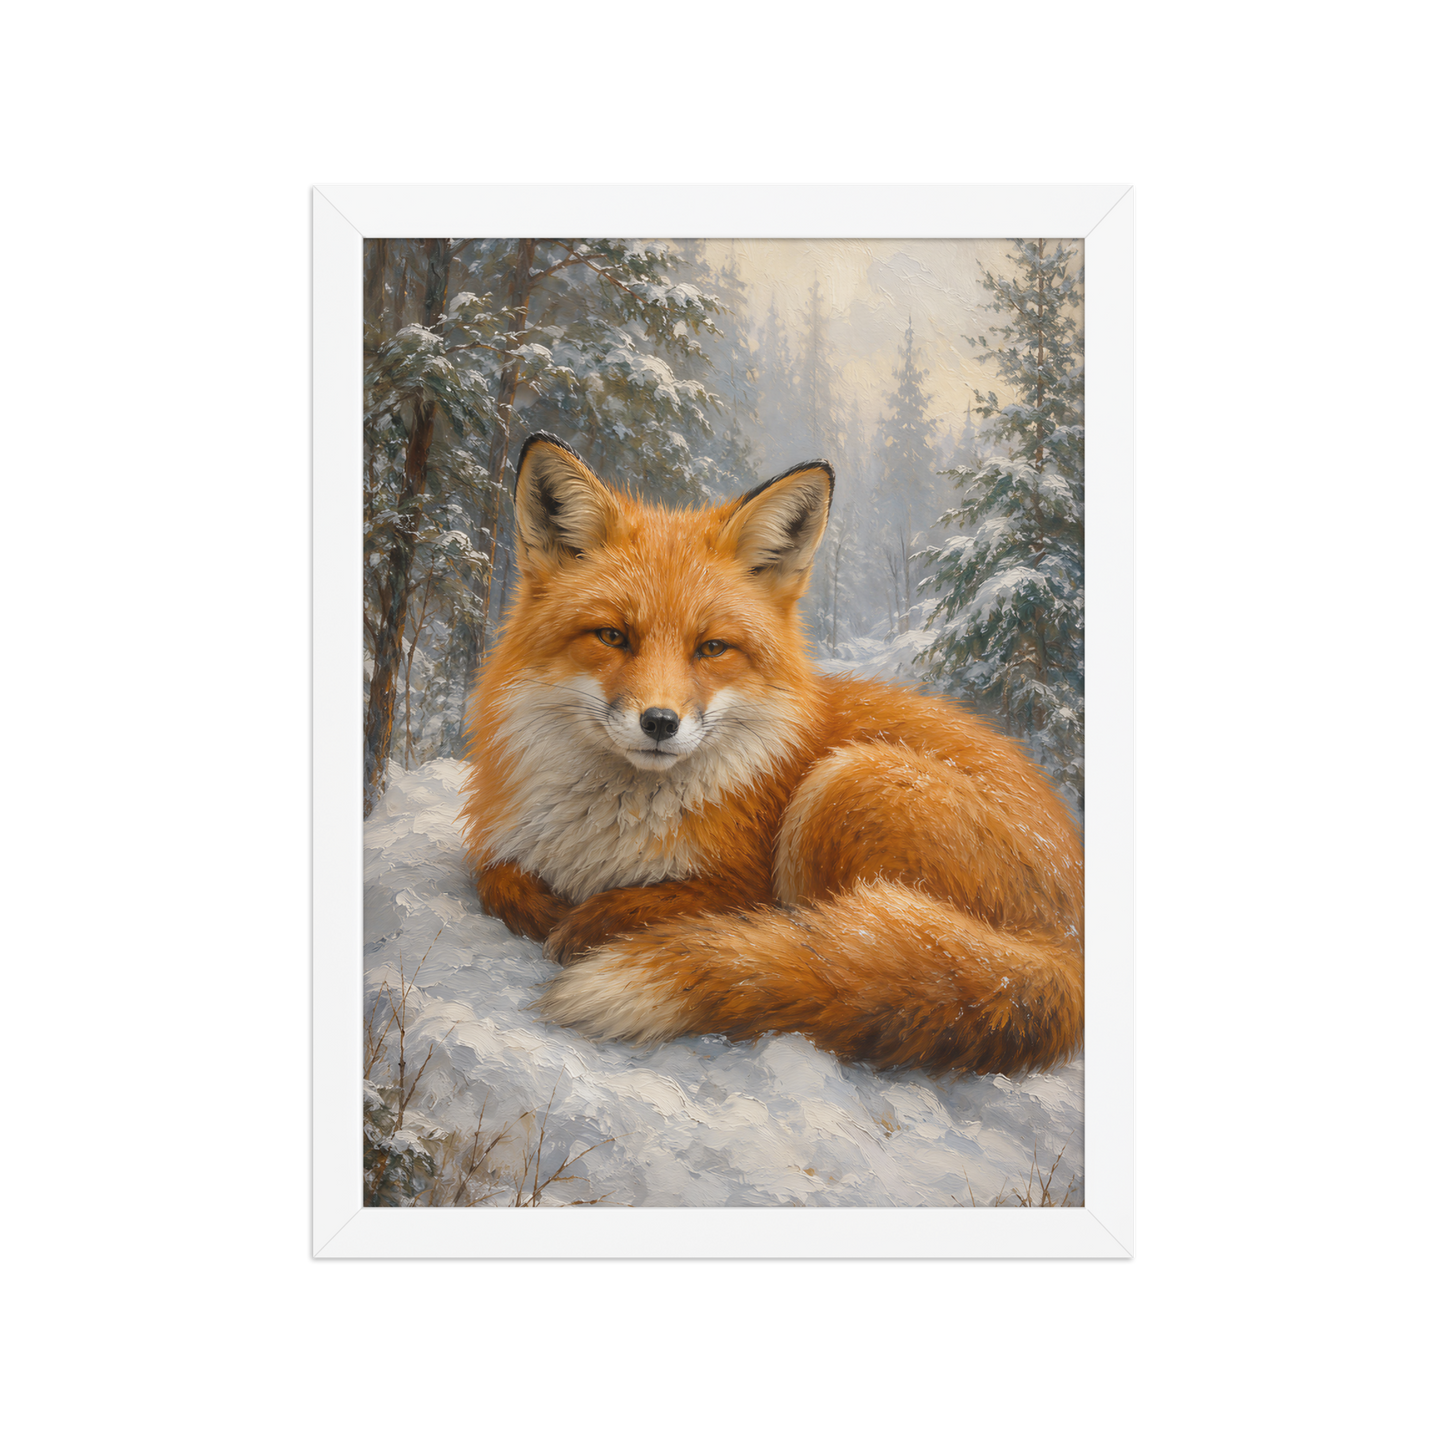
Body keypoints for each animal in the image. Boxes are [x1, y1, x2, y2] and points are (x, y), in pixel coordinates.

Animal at [459, 432, 1083, 1077]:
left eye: (712, 648)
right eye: (613, 636)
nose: (660, 723)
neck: (606, 831)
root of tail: (1069, 945)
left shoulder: (742, 882)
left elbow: (661, 902)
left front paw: (590, 922)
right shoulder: (506, 845)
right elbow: (495, 878)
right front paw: (543, 908)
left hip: (846, 783)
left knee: (833, 946)